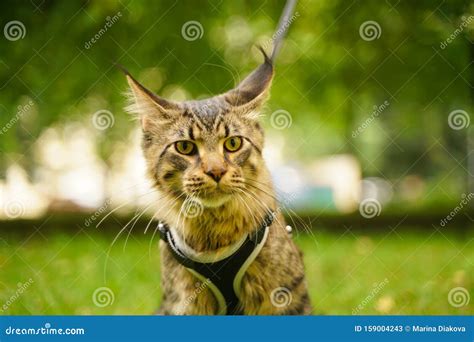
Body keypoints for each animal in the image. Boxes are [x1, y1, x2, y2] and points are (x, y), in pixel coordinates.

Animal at [121, 0, 312, 316]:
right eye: (185, 148)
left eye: (233, 143)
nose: (216, 171)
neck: (214, 235)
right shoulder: (184, 300)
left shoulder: (285, 296)